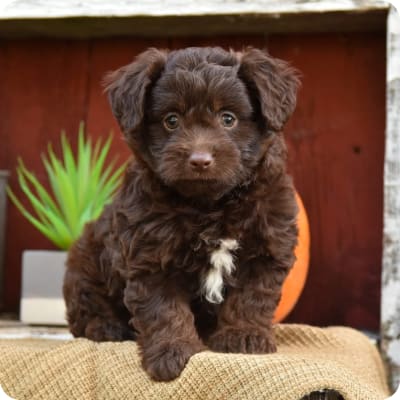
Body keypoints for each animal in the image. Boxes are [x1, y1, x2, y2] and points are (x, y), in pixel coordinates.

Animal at [63, 47, 300, 382]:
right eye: (171, 120)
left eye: (228, 118)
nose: (200, 160)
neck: (210, 204)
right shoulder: (150, 257)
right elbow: (164, 310)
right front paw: (172, 353)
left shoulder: (267, 249)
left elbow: (252, 298)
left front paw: (244, 337)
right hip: (84, 259)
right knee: (85, 307)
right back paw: (106, 326)